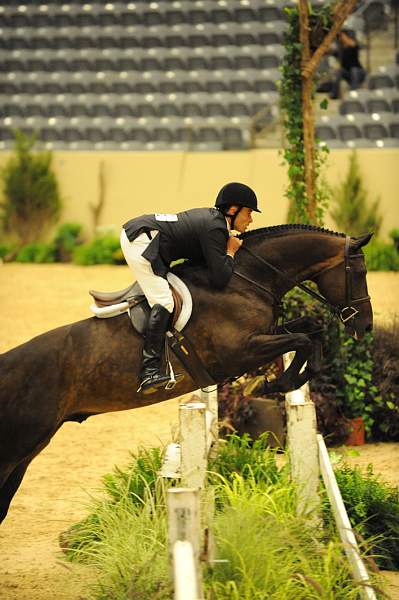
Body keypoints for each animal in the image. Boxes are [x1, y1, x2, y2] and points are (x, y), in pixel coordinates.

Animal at [0, 225, 376, 520]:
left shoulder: (265, 335)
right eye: (359, 273)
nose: (366, 327)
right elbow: (303, 338)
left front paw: (281, 381)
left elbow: (310, 330)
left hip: (28, 452)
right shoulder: (240, 351)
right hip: (17, 448)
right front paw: (281, 381)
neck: (245, 280)